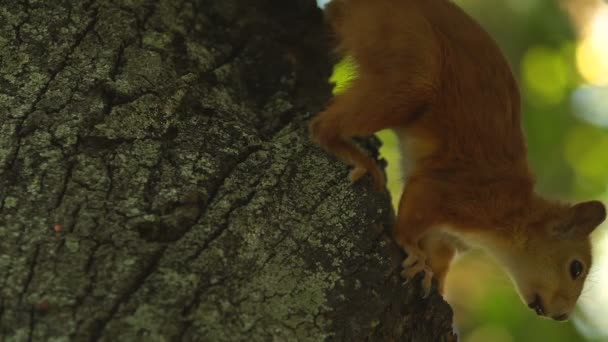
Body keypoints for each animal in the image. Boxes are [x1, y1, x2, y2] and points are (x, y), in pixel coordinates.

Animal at [312, 0, 604, 320]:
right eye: (576, 268)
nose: (562, 315)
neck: (513, 216)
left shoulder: (447, 237)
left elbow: (440, 255)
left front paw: (437, 281)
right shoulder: (456, 190)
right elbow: (410, 220)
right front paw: (414, 251)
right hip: (405, 54)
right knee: (321, 127)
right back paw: (356, 156)